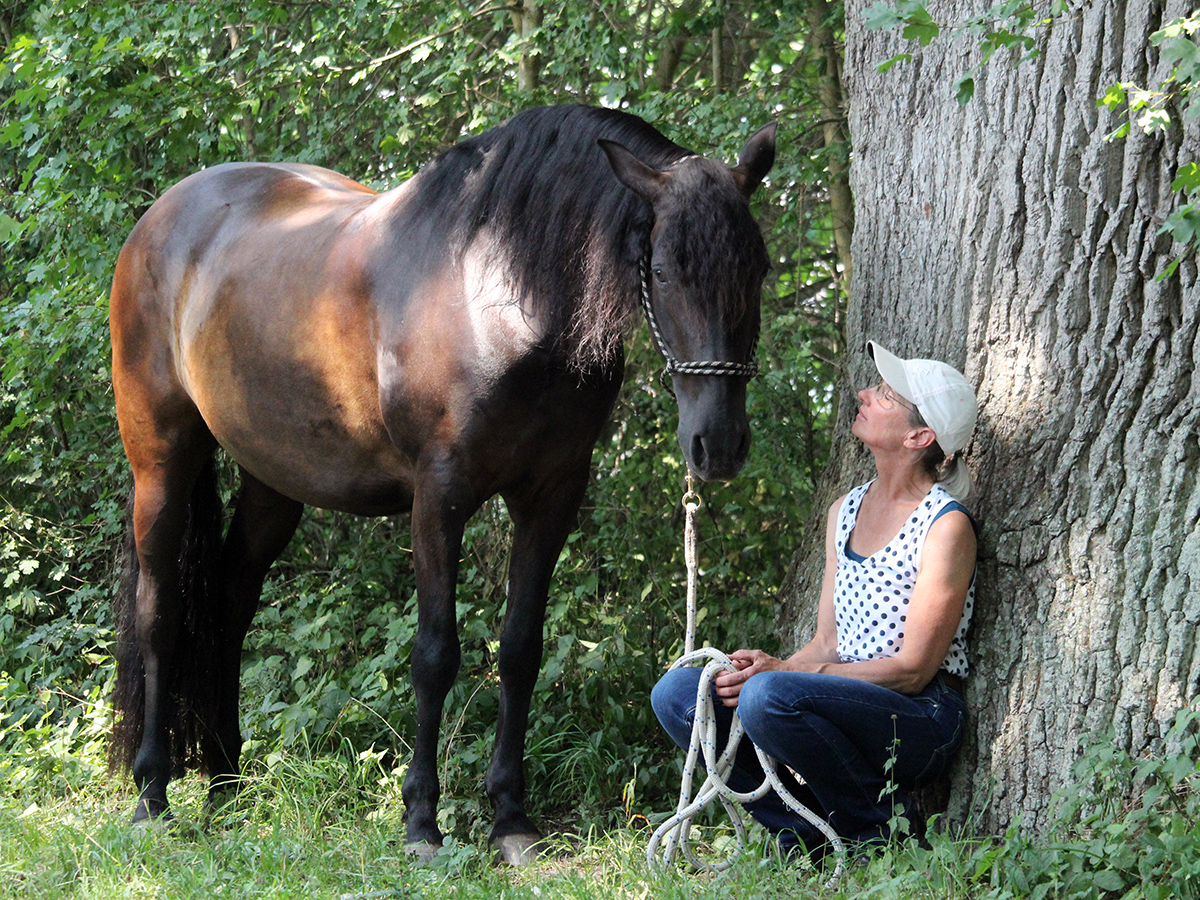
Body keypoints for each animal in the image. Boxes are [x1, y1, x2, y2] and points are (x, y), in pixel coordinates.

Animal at [107, 104, 776, 864]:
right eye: (661, 270)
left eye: (758, 267)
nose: (718, 444)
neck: (502, 298)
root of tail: (161, 216)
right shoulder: (439, 497)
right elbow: (435, 655)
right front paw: (422, 823)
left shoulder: (552, 496)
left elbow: (520, 650)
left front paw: (511, 819)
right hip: (160, 464)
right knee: (160, 615)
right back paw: (153, 795)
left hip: (272, 481)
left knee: (227, 605)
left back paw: (224, 783)